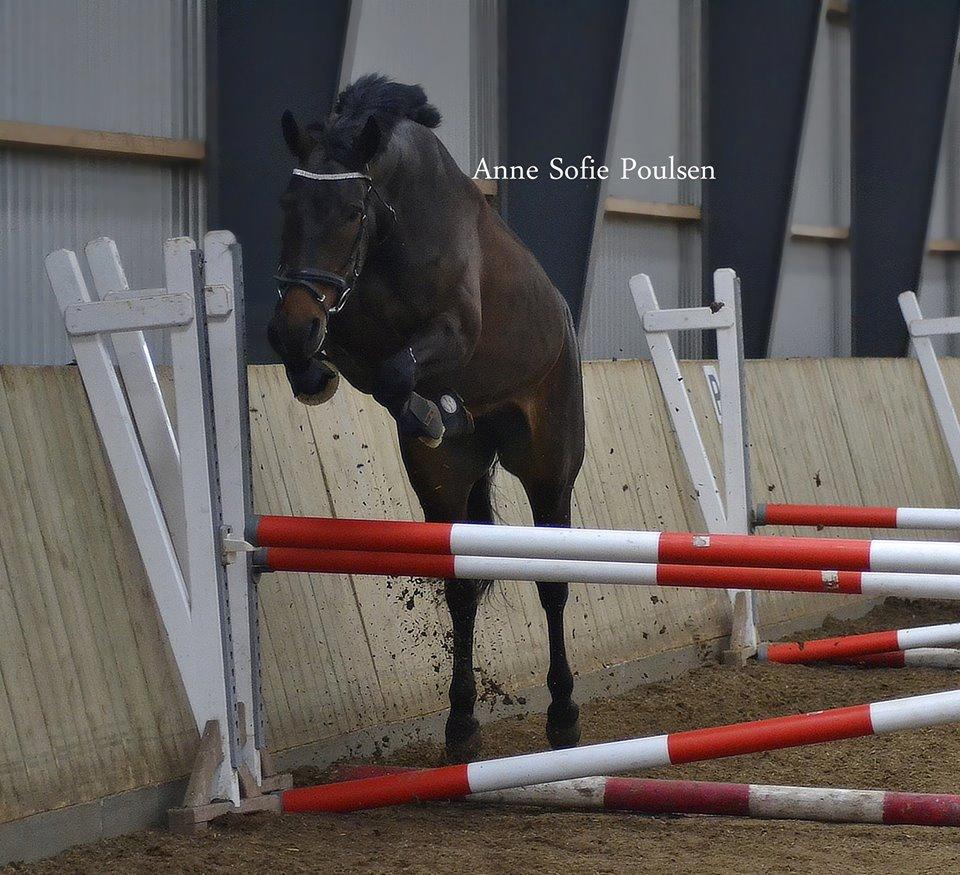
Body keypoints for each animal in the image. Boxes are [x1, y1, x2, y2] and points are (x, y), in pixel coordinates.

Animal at [270, 73, 584, 760]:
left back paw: (563, 715)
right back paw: (461, 724)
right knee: (462, 589)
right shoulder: (347, 328)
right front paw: (318, 377)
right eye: (287, 204)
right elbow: (372, 373)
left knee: (552, 581)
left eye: (351, 213)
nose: (293, 326)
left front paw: (435, 411)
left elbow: (397, 373)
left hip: (548, 467)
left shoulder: (455, 330)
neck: (391, 226)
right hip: (444, 484)